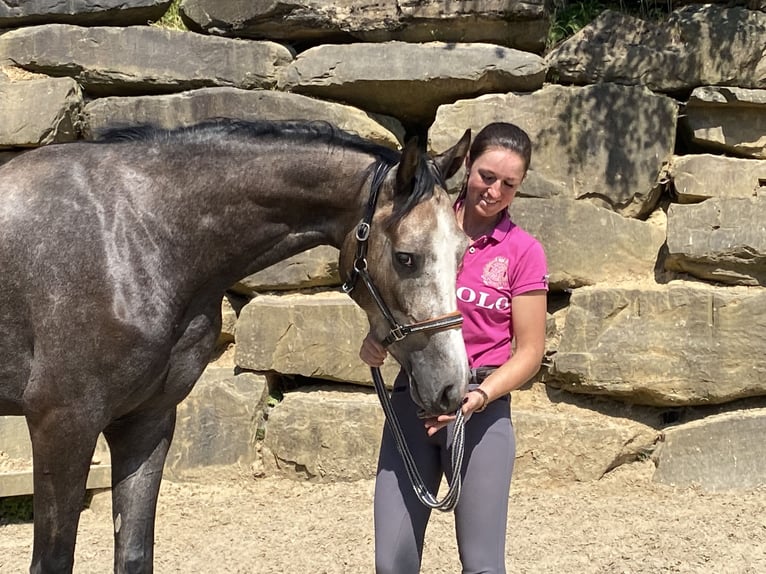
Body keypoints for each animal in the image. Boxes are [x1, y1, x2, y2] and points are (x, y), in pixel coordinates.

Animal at [0, 119, 474, 572]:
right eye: (406, 257)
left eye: (463, 250)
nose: (453, 386)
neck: (133, 236)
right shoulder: (63, 425)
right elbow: (53, 561)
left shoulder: (145, 421)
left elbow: (134, 553)